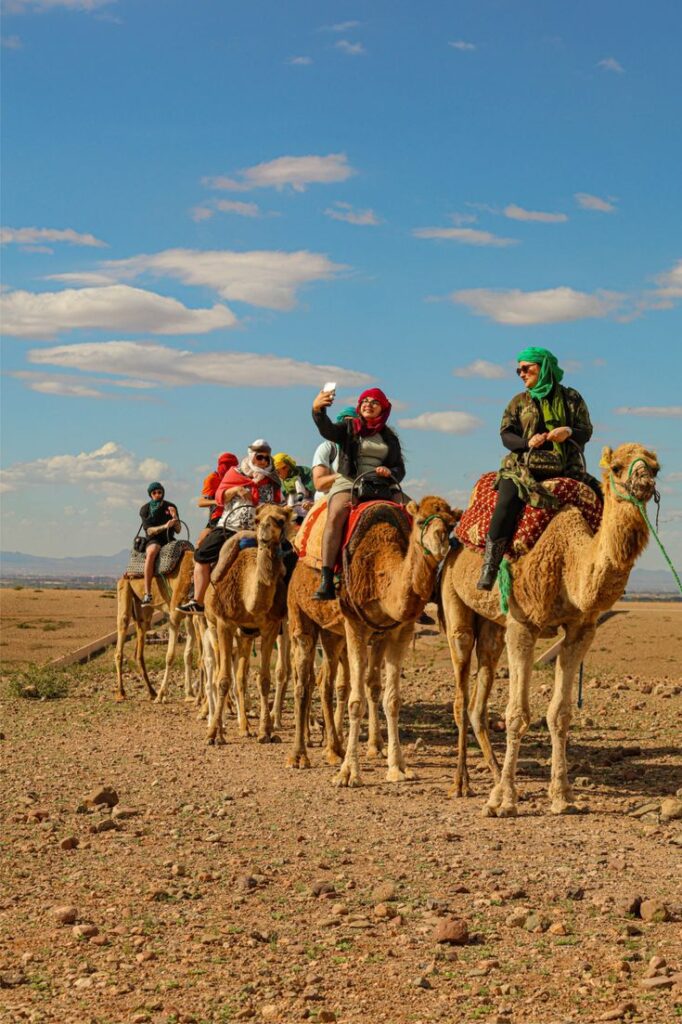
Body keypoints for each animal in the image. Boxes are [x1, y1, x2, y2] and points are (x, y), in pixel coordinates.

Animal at [114, 549, 196, 703]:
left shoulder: (190, 615)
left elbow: (188, 655)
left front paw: (190, 694)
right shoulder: (174, 614)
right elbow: (170, 656)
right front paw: (162, 694)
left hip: (143, 610)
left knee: (139, 649)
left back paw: (151, 691)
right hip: (124, 589)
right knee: (122, 628)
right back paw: (121, 692)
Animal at [203, 504, 295, 745]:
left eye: (281, 520)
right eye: (257, 519)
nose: (264, 534)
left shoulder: (271, 627)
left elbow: (263, 679)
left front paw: (266, 731)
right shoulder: (225, 623)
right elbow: (223, 679)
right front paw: (213, 734)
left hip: (244, 635)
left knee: (240, 678)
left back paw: (245, 727)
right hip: (213, 626)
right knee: (218, 673)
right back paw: (220, 726)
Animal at [331, 495, 458, 787]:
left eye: (450, 525)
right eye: (420, 521)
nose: (440, 541)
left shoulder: (401, 631)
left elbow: (392, 700)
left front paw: (398, 767)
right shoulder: (354, 625)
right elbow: (356, 702)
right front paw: (348, 772)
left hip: (372, 638)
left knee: (368, 685)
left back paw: (372, 746)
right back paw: (329, 747)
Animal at [439, 442, 660, 816]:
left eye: (656, 467)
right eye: (617, 467)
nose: (644, 483)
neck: (570, 562)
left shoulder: (581, 629)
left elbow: (560, 714)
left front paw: (563, 797)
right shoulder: (523, 624)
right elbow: (516, 714)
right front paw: (505, 801)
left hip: (492, 627)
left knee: (478, 700)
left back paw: (492, 775)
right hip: (455, 603)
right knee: (460, 695)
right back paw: (461, 784)